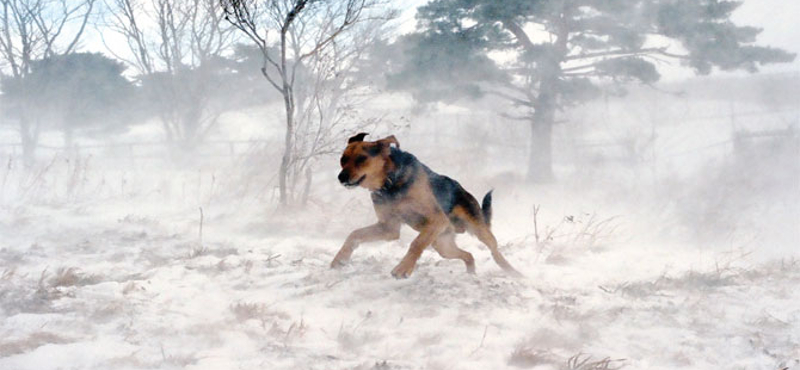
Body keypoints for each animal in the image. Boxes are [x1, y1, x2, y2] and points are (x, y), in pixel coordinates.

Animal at [328, 133, 520, 278]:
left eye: (361, 158)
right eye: (343, 159)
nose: (341, 177)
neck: (390, 183)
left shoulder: (436, 219)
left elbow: (416, 243)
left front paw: (403, 269)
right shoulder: (388, 227)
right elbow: (354, 235)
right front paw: (340, 260)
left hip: (478, 229)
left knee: (495, 251)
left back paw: (514, 272)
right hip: (443, 245)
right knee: (468, 255)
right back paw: (471, 274)